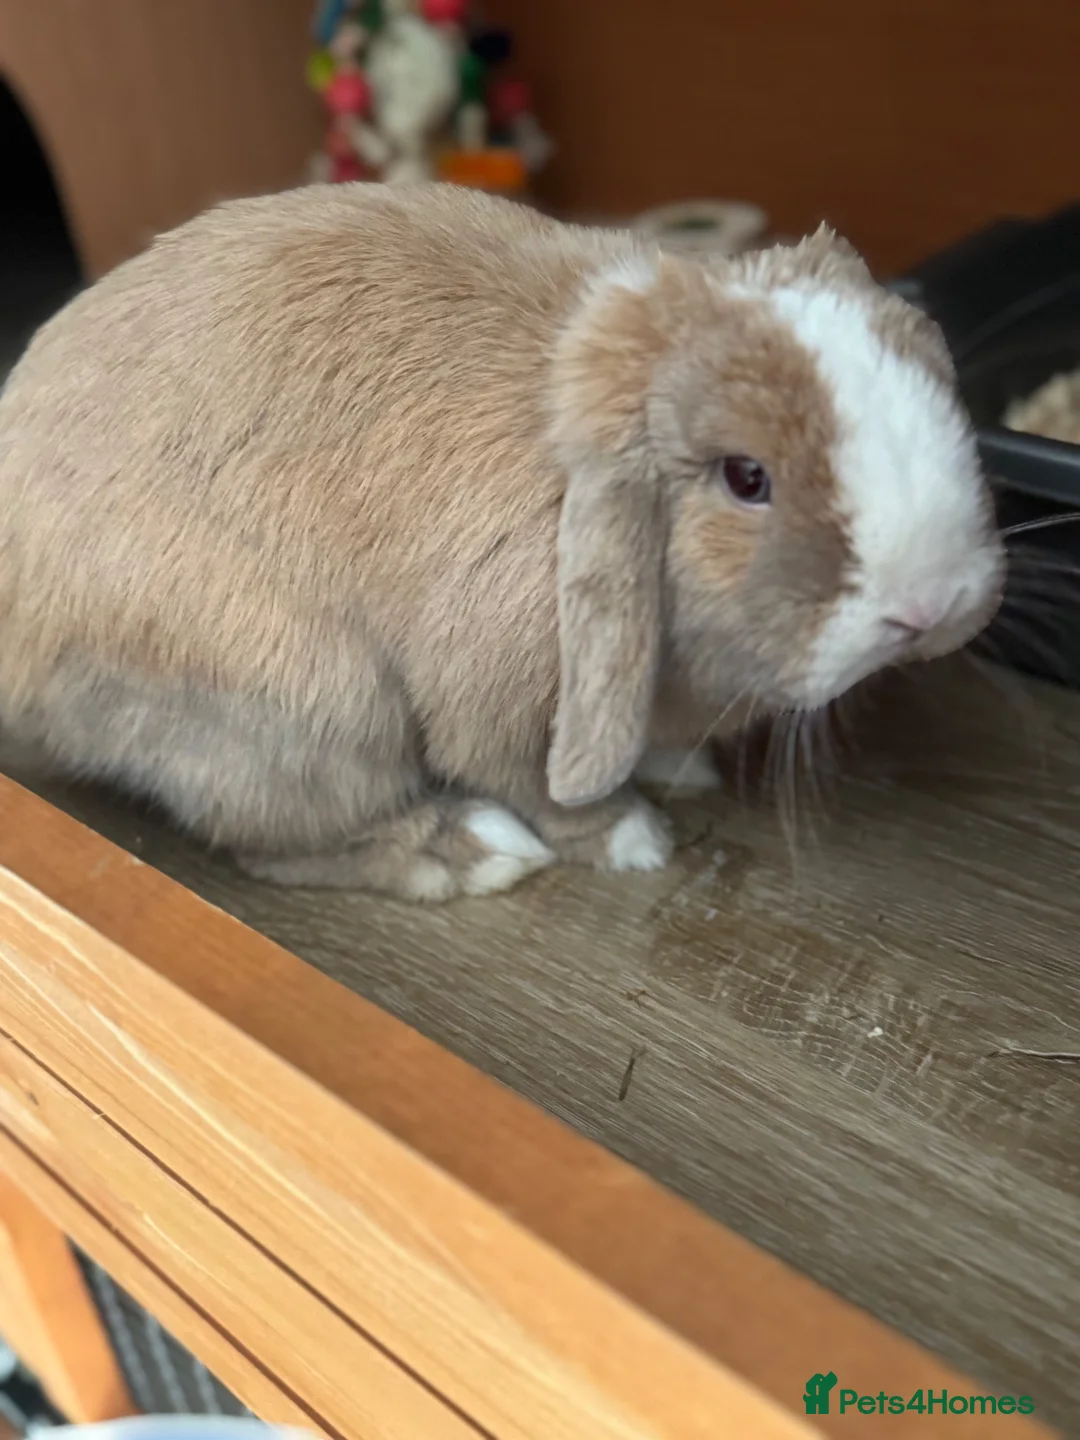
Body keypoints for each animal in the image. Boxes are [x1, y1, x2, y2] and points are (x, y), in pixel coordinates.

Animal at [0, 182, 1005, 902]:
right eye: (746, 478)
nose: (934, 605)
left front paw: (684, 770)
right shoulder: (499, 697)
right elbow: (533, 780)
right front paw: (631, 840)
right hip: (304, 705)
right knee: (276, 842)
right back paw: (469, 851)